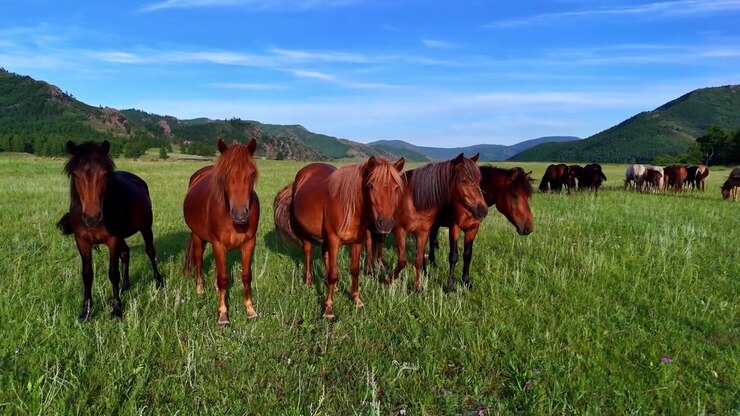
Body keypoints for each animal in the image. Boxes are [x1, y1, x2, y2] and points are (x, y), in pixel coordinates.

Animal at [57, 140, 164, 321]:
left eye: (105, 174)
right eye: (75, 175)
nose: (92, 217)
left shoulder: (112, 239)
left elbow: (113, 273)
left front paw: (117, 309)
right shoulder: (82, 242)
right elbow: (87, 274)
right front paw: (86, 311)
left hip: (145, 227)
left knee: (150, 251)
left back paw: (158, 281)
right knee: (126, 253)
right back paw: (126, 286)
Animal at [183, 139, 260, 326]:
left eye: (252, 173)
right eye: (224, 175)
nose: (240, 214)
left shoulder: (249, 243)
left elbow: (246, 276)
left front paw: (250, 310)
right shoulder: (219, 245)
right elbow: (224, 278)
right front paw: (223, 314)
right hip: (197, 237)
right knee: (199, 260)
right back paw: (200, 289)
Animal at [273, 157, 405, 319]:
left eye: (396, 188)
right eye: (371, 186)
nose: (385, 224)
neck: (350, 207)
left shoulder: (357, 242)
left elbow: (354, 271)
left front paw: (356, 299)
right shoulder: (334, 240)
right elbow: (333, 273)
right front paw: (328, 309)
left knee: (324, 251)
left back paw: (334, 287)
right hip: (305, 232)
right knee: (308, 252)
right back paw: (308, 281)